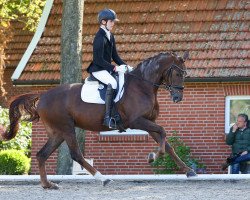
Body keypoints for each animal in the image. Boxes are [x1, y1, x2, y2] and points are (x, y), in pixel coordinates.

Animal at [0, 50, 196, 188]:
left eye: (185, 74)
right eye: (178, 74)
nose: (178, 98)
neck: (143, 86)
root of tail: (43, 96)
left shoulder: (149, 123)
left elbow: (167, 143)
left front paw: (189, 171)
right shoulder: (136, 121)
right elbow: (163, 133)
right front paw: (153, 156)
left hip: (57, 132)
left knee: (42, 155)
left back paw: (48, 184)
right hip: (66, 128)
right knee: (76, 154)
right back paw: (103, 178)